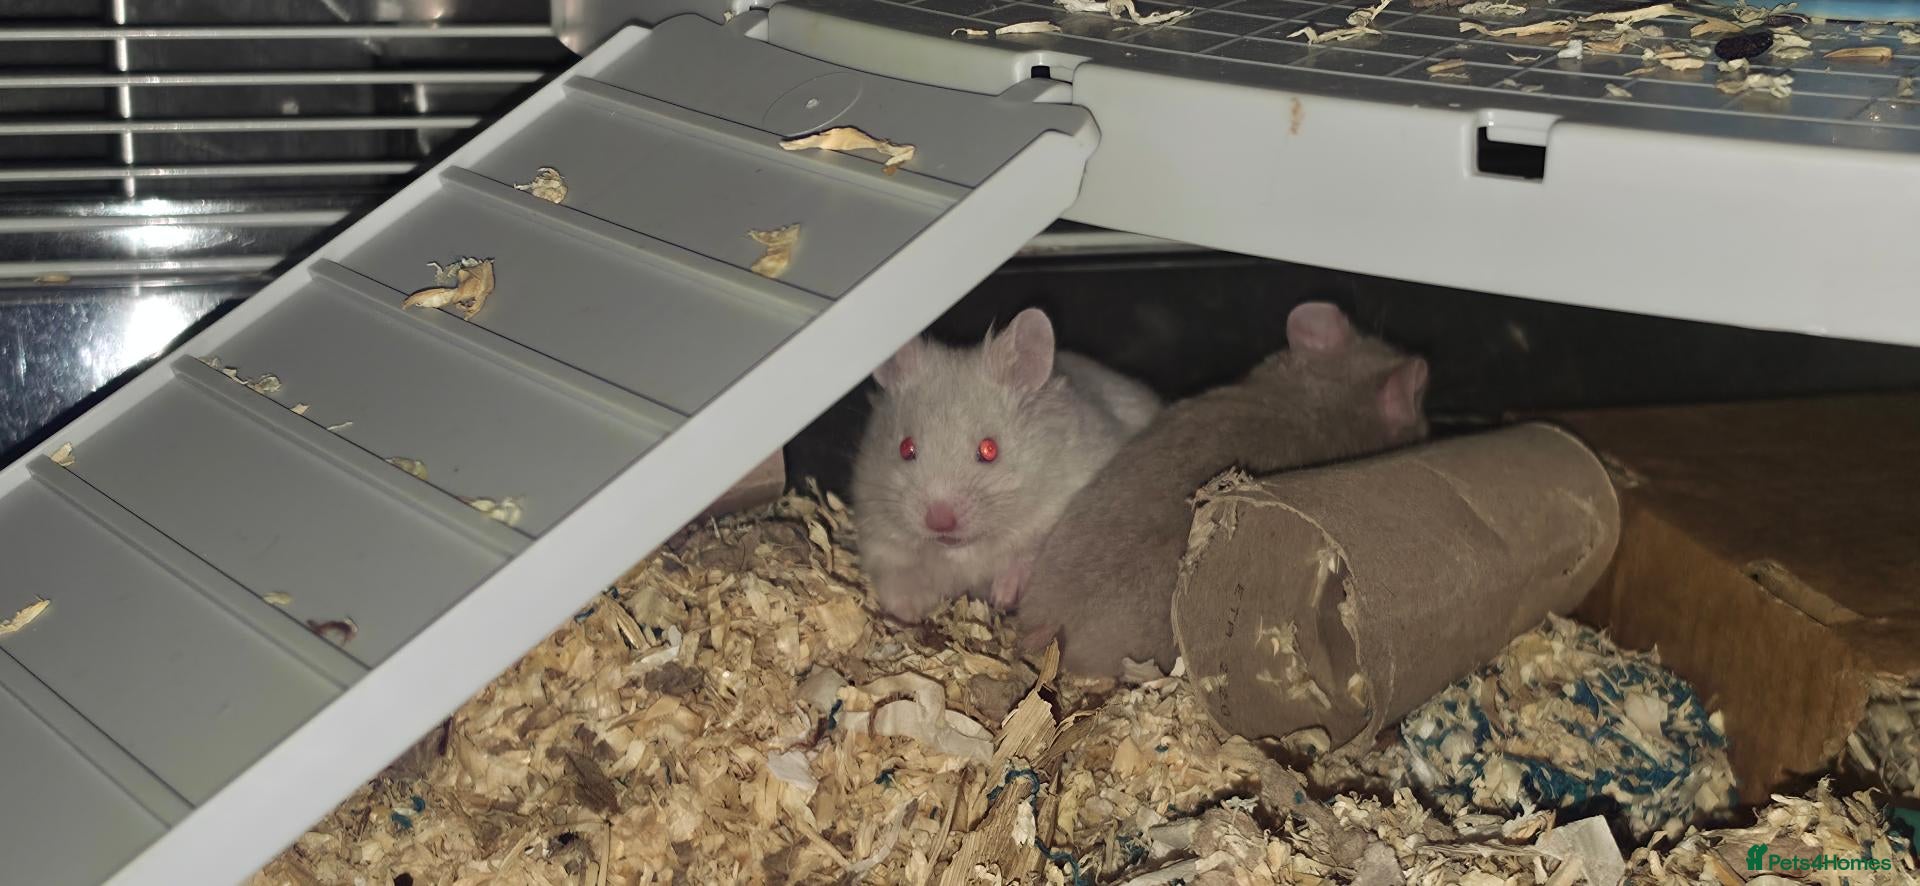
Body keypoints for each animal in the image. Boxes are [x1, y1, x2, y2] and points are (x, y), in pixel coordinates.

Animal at [852, 308, 1162, 624]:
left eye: (989, 450)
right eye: (906, 448)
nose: (939, 521)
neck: (966, 547)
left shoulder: (1069, 490)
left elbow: (1031, 547)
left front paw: (1003, 596)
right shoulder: (876, 523)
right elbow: (893, 566)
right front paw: (909, 611)